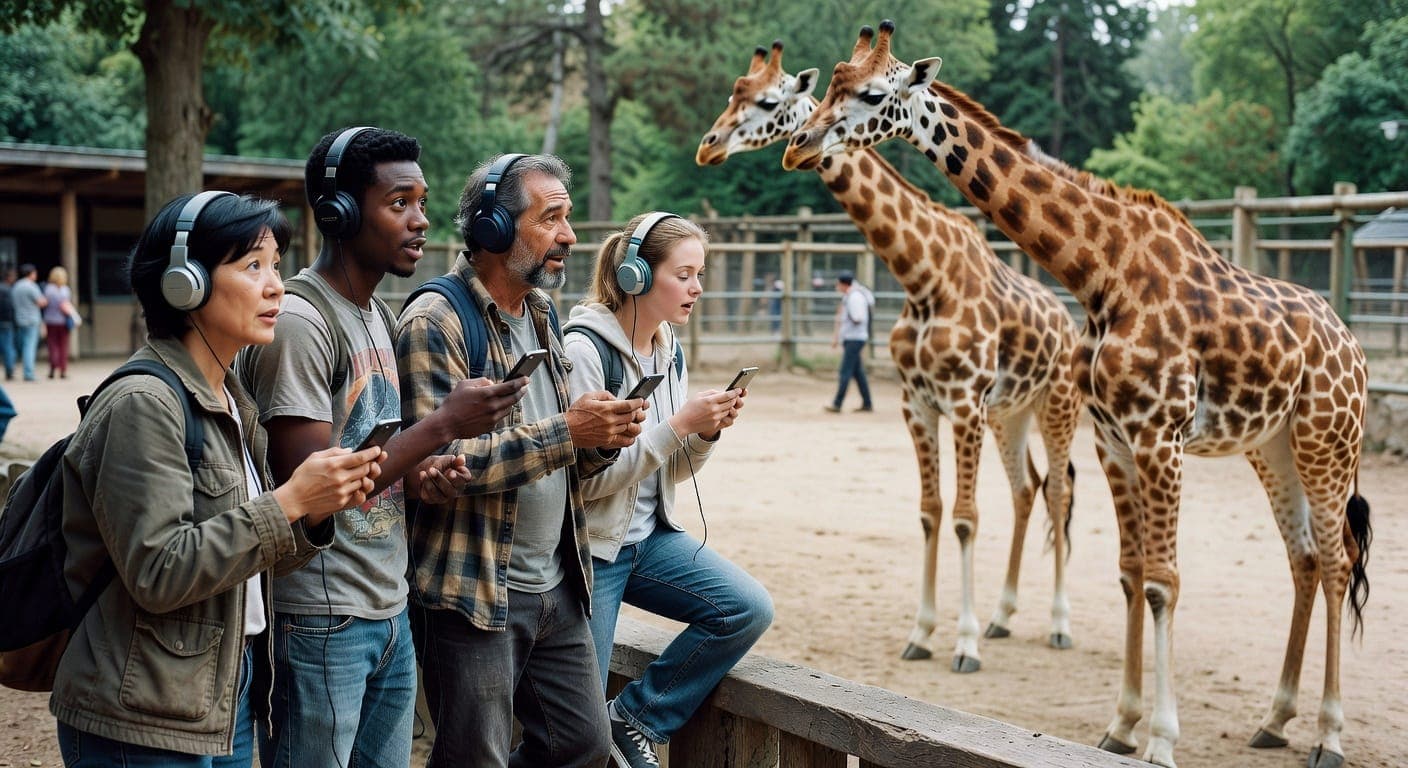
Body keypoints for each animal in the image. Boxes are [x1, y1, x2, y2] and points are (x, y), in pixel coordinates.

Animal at [697, 41, 1084, 672]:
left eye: (768, 101)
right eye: (734, 93)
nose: (708, 145)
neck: (923, 277)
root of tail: (1070, 324)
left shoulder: (963, 402)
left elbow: (965, 517)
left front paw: (964, 644)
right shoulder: (918, 404)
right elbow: (930, 511)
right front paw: (923, 634)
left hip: (1058, 407)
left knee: (1057, 491)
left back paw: (1057, 625)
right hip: (1010, 413)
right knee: (1025, 490)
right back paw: (1004, 616)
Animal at [783, 21, 1373, 768]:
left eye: (870, 93)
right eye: (826, 85)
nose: (800, 145)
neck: (1100, 276)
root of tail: (1353, 346)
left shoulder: (1159, 437)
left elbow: (1164, 581)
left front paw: (1161, 742)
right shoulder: (1115, 439)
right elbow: (1130, 572)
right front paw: (1121, 726)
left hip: (1327, 442)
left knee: (1338, 560)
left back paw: (1329, 734)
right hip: (1272, 446)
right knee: (1303, 558)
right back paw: (1274, 719)